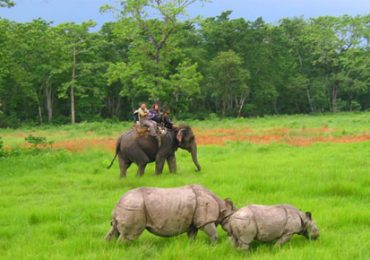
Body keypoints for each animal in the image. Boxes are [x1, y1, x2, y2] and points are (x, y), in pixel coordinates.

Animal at [105, 184, 236, 243]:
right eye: (231, 220)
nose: (232, 233)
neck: (222, 208)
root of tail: (118, 203)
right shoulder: (206, 220)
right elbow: (213, 234)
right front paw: (214, 246)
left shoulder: (193, 222)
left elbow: (192, 235)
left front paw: (191, 245)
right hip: (134, 206)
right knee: (129, 236)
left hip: (128, 206)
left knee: (115, 229)